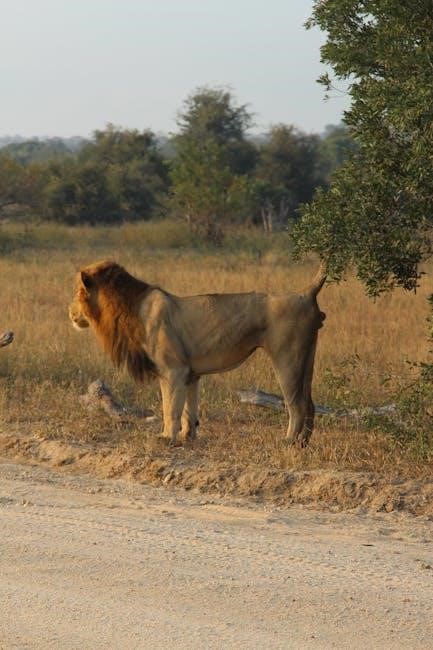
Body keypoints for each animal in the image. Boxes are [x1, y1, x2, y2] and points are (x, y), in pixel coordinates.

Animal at [69, 260, 326, 446]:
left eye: (78, 292)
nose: (69, 311)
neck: (126, 308)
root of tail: (305, 293)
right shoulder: (189, 374)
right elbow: (187, 409)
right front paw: (187, 436)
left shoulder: (173, 370)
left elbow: (169, 408)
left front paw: (166, 438)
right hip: (307, 358)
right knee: (310, 403)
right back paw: (303, 442)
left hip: (287, 358)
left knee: (296, 404)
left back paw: (289, 441)